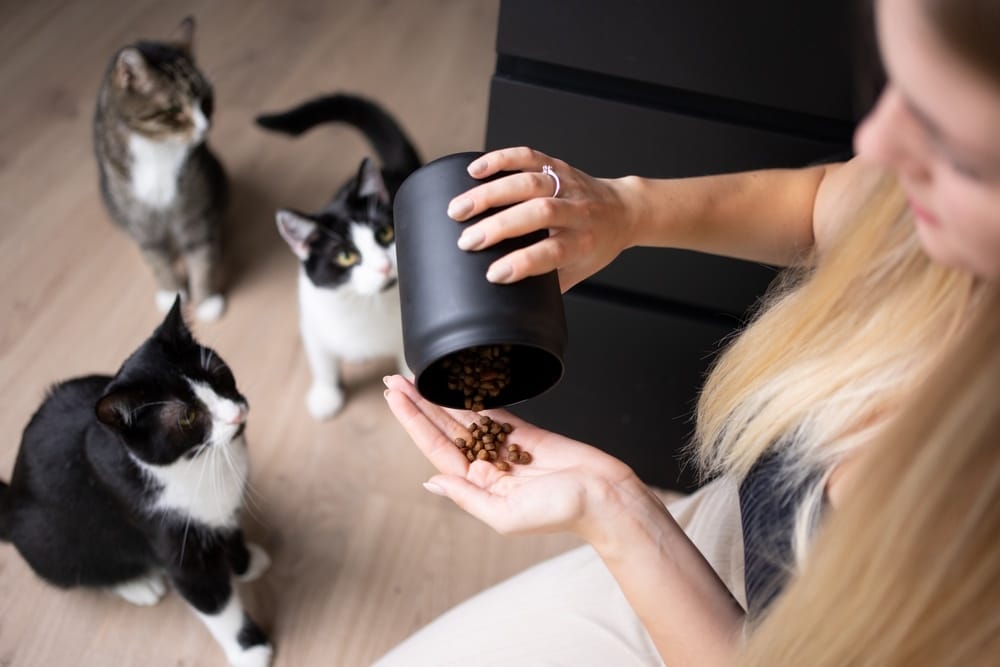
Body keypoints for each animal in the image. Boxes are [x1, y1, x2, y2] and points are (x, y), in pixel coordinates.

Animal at [0, 298, 272, 667]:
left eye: (218, 373)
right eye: (187, 417)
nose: (237, 414)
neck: (199, 464)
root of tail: (11, 502)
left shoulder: (223, 509)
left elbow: (231, 531)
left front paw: (246, 562)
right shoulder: (166, 534)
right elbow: (213, 601)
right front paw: (250, 650)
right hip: (47, 540)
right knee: (82, 569)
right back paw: (138, 585)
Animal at [94, 17, 230, 324]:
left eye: (207, 101)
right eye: (175, 110)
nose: (205, 127)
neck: (158, 150)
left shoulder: (194, 205)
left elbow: (201, 255)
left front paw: (207, 301)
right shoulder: (139, 217)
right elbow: (156, 258)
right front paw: (170, 293)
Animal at [254, 92, 422, 420]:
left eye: (386, 233)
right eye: (345, 256)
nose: (384, 266)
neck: (370, 305)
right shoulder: (313, 320)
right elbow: (322, 361)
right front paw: (325, 396)